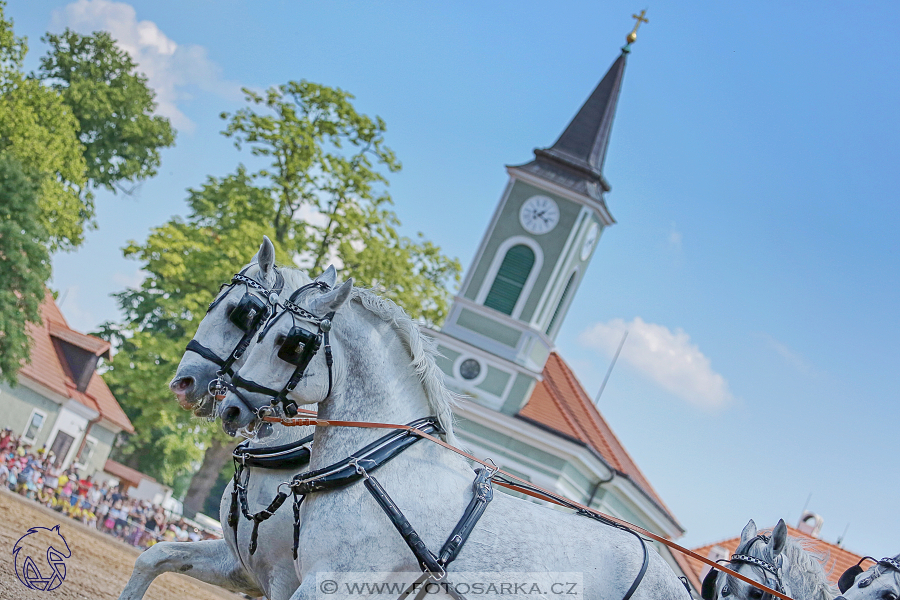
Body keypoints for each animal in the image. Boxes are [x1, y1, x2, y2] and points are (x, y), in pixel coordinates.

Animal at [220, 278, 696, 600]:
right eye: (258, 323)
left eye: (291, 343)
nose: (229, 405)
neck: (377, 465)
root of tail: (674, 578)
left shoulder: (328, 582)